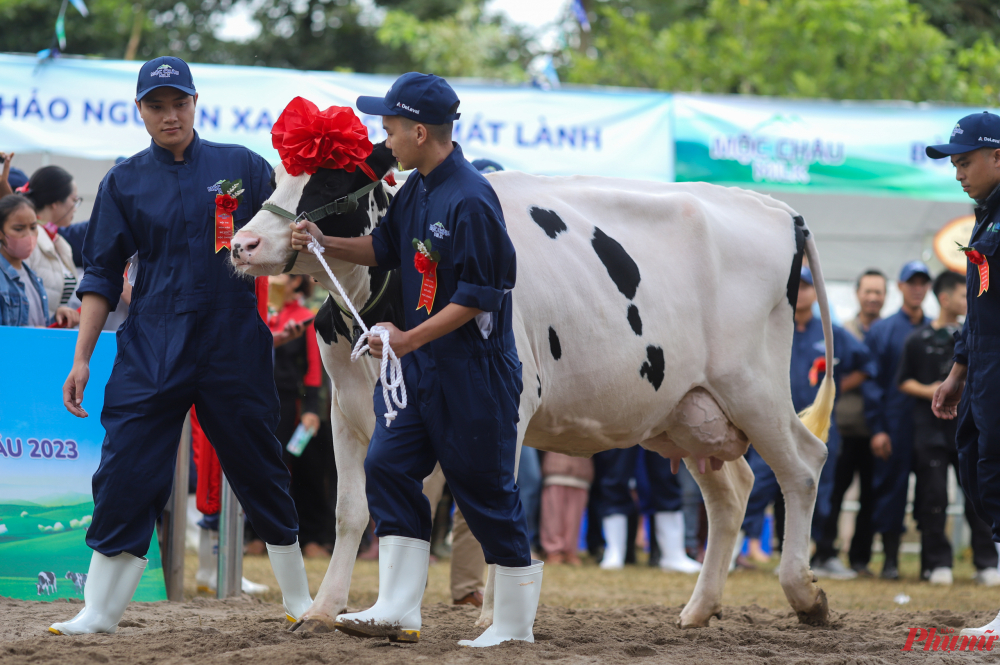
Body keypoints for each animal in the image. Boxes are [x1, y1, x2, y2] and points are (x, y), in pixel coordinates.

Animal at [232, 141, 836, 632]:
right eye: (276, 176)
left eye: (330, 179)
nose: (243, 243)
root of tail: (776, 209)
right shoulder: (347, 410)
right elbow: (356, 511)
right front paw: (327, 608)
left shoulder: (506, 409)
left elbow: (488, 503)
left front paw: (494, 616)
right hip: (689, 410)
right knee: (731, 492)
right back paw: (698, 609)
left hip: (754, 387)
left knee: (804, 466)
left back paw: (805, 595)